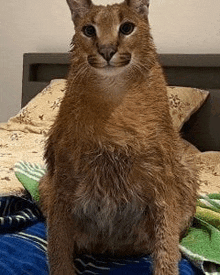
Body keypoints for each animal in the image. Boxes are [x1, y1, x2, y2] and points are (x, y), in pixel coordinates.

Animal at [39, 0, 199, 275]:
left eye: (126, 28)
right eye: (88, 30)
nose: (106, 51)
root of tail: (111, 251)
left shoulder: (162, 180)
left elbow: (165, 243)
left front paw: (169, 262)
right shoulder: (63, 180)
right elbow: (58, 245)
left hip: (186, 173)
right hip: (44, 184)